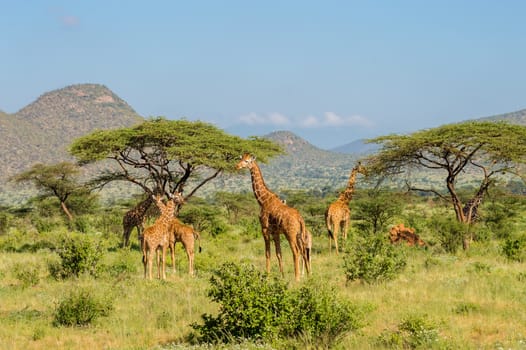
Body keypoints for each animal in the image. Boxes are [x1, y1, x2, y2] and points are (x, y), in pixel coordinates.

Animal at [236, 153, 312, 282]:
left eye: (247, 161)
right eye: (241, 159)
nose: (237, 166)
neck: (263, 200)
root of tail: (300, 218)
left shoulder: (265, 229)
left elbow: (268, 253)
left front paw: (267, 275)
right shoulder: (275, 232)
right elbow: (279, 253)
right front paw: (282, 276)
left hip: (290, 234)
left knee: (296, 251)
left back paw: (297, 278)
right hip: (299, 235)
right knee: (303, 252)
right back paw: (307, 276)